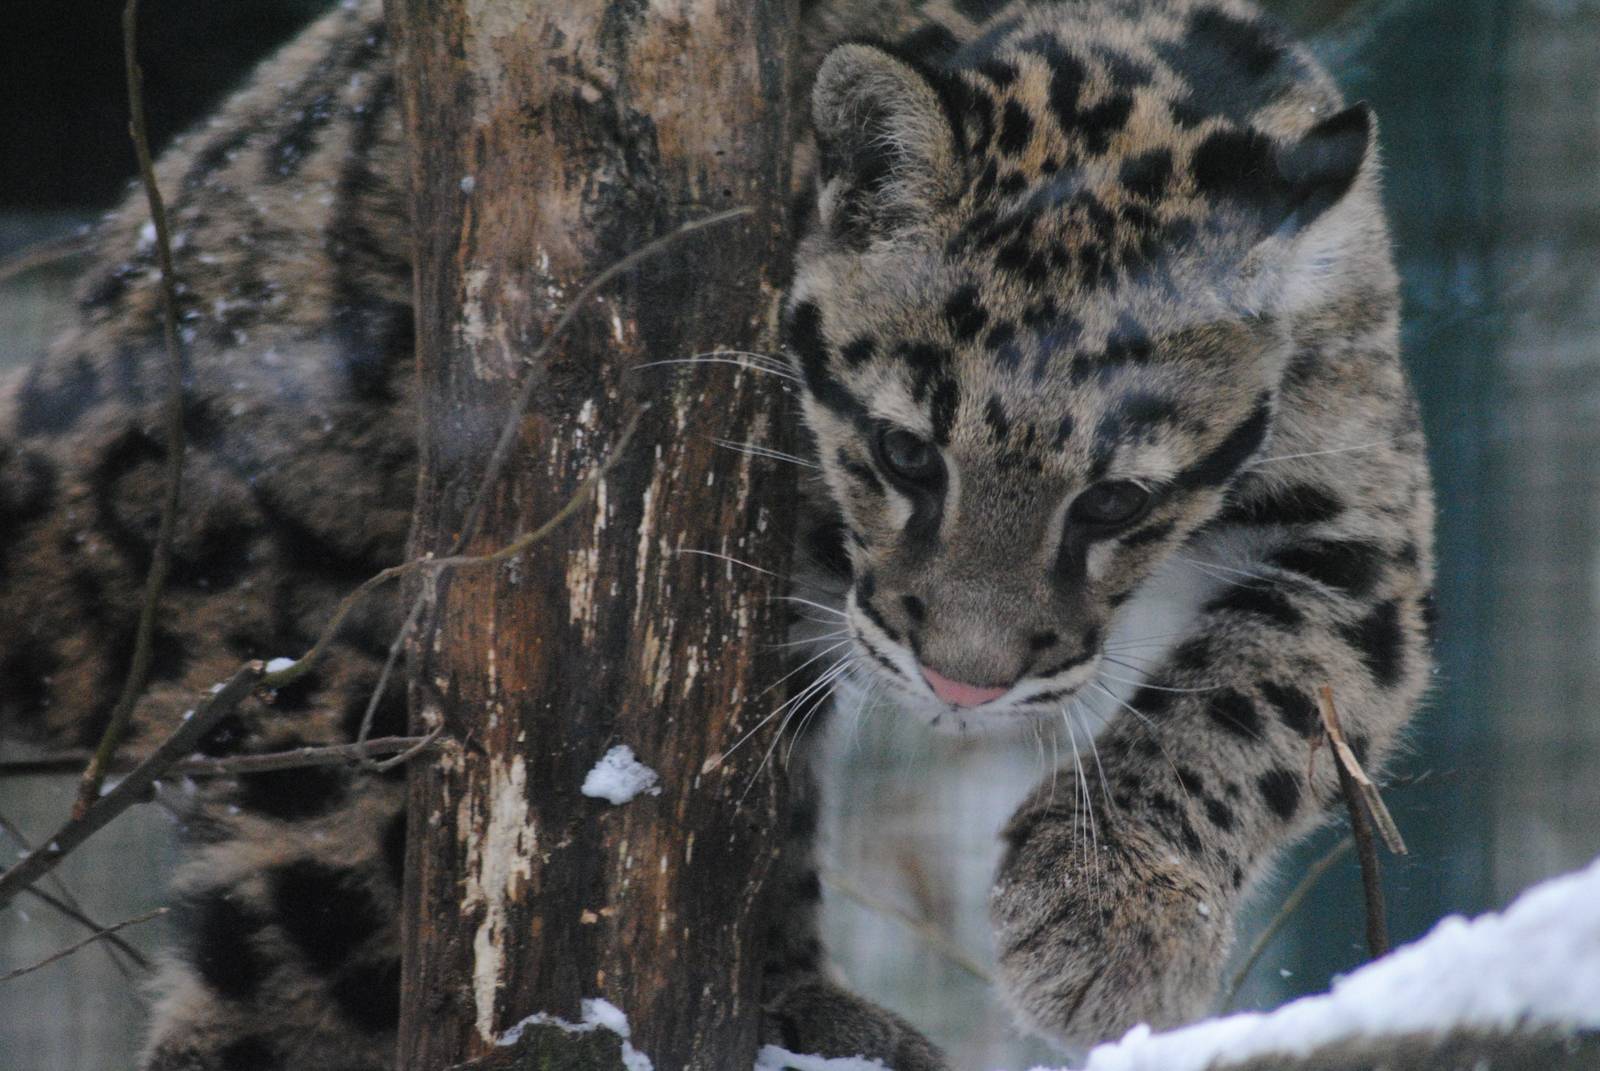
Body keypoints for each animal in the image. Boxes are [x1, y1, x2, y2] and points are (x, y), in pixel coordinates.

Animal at [0, 0, 1434, 1069]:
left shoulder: (1371, 526)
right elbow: (754, 793)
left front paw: (1108, 914)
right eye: (905, 453)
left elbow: (1259, 695)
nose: (966, 684)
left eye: (1116, 503)